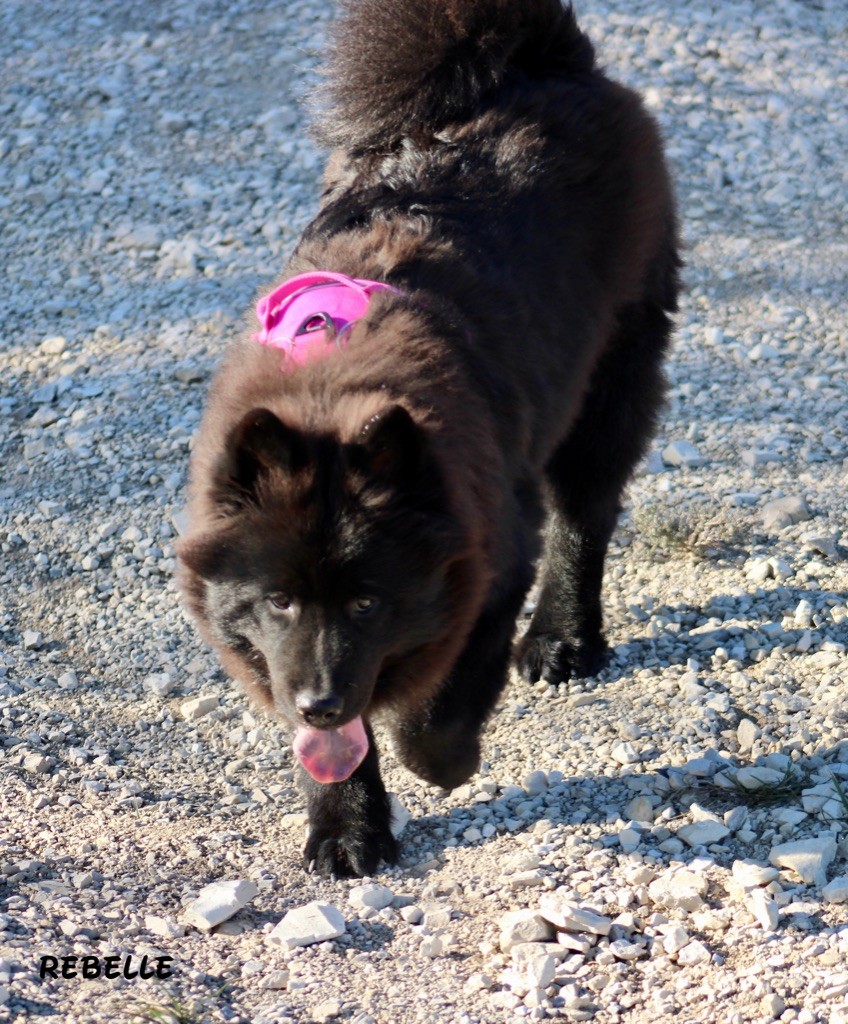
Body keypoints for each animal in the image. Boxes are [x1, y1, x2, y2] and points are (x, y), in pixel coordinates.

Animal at [175, 0, 680, 880]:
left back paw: (563, 640)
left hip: (611, 375)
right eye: (278, 600)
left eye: (369, 600)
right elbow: (339, 748)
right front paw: (347, 831)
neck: (330, 393)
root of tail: (543, 61)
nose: (319, 700)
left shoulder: (490, 560)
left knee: (586, 513)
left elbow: (435, 709)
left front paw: (445, 764)